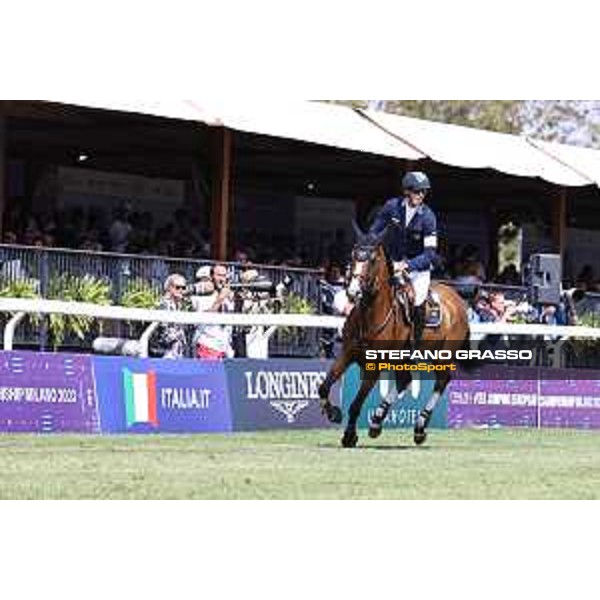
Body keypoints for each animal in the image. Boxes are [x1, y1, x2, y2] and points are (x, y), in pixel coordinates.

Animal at [322, 225, 472, 446]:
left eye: (372, 260)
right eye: (353, 256)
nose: (353, 292)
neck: (370, 314)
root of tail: (458, 300)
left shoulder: (373, 367)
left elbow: (356, 404)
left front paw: (349, 435)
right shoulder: (347, 354)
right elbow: (324, 386)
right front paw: (333, 413)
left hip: (442, 355)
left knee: (441, 381)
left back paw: (419, 427)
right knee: (404, 381)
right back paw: (377, 421)